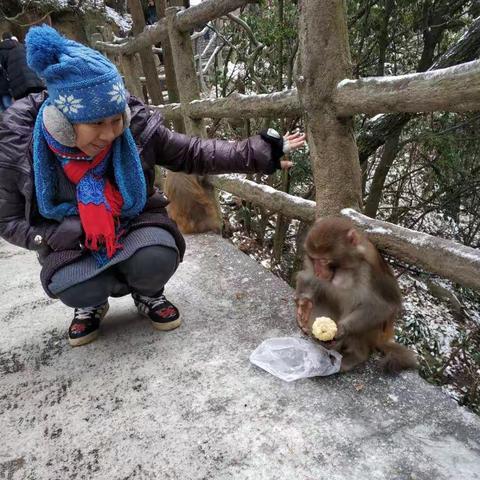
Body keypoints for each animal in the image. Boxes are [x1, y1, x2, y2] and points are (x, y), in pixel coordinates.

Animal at [294, 216, 414, 374]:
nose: (319, 272)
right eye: (314, 259)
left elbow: (384, 306)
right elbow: (308, 277)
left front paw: (342, 329)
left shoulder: (372, 271)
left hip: (375, 335)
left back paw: (354, 355)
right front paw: (304, 305)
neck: (345, 270)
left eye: (324, 260)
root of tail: (382, 340)